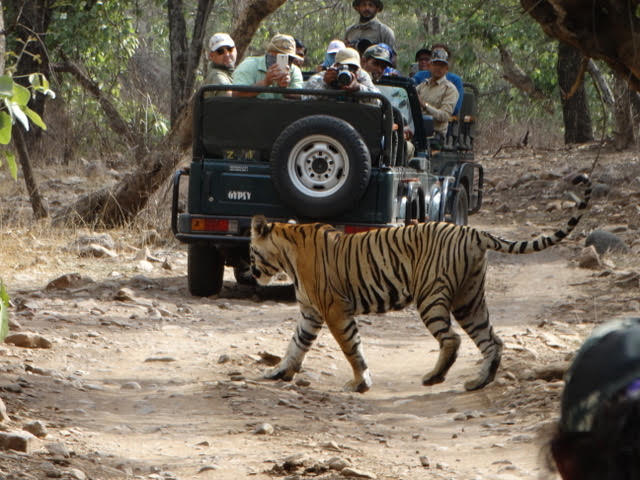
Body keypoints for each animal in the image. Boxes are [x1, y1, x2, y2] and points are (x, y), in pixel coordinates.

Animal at [249, 174, 591, 393]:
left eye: (251, 250)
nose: (252, 272)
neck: (287, 251)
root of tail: (473, 231)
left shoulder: (333, 308)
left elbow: (350, 347)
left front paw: (360, 383)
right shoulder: (310, 311)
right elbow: (296, 343)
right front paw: (279, 371)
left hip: (430, 296)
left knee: (452, 339)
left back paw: (434, 378)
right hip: (469, 300)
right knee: (492, 340)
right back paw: (478, 382)